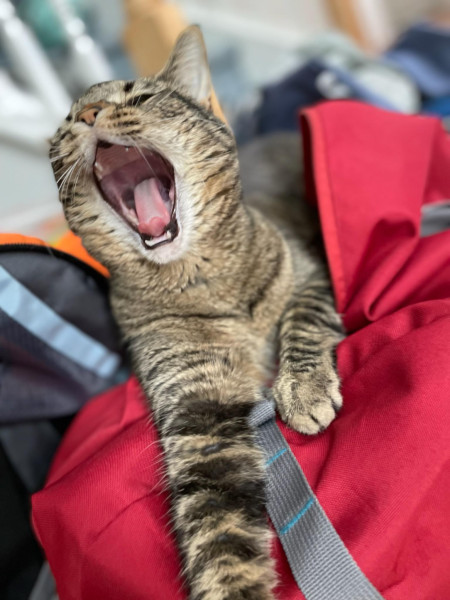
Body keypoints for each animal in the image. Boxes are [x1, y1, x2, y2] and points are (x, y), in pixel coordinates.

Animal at [49, 25, 342, 600]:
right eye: (65, 123)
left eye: (139, 96)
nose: (89, 113)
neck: (200, 278)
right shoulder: (195, 405)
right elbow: (217, 528)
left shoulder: (311, 274)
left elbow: (302, 321)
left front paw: (303, 388)